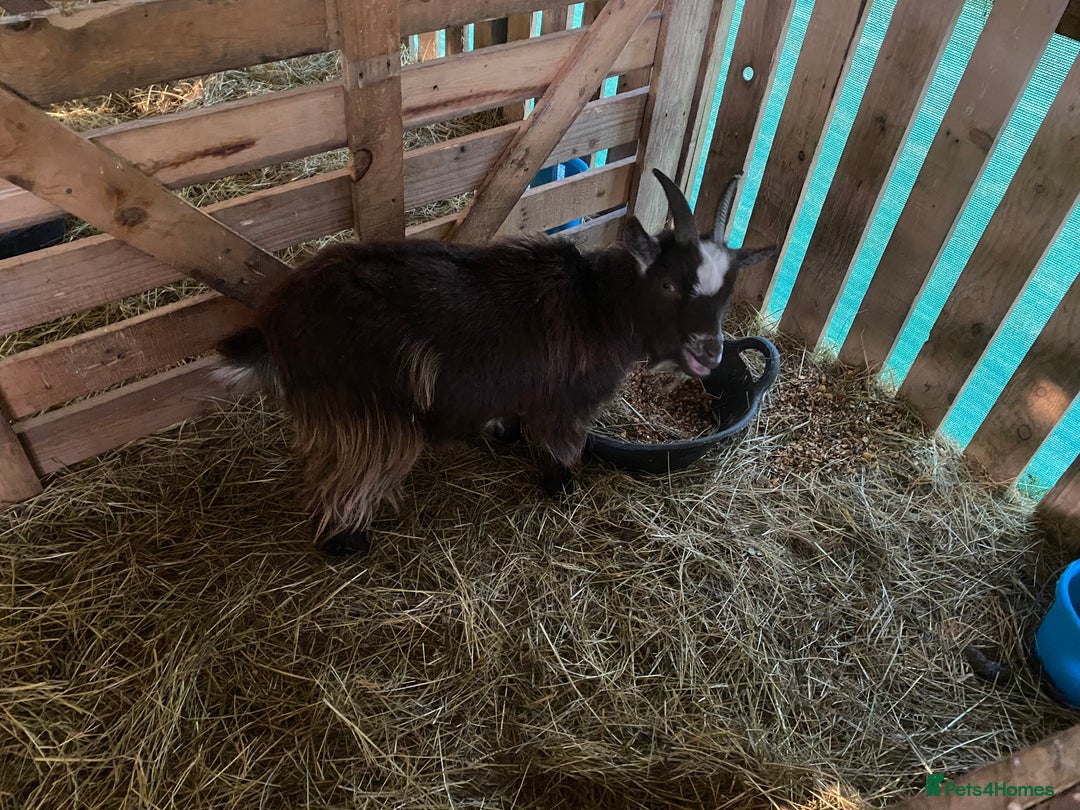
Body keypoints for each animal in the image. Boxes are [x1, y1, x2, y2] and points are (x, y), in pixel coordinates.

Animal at [217, 169, 775, 555]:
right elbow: (561, 447)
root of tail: (276, 320)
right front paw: (561, 488)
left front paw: (504, 436)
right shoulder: (565, 403)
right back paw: (346, 542)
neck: (597, 304)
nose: (709, 351)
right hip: (364, 412)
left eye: (727, 291)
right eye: (668, 283)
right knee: (348, 474)